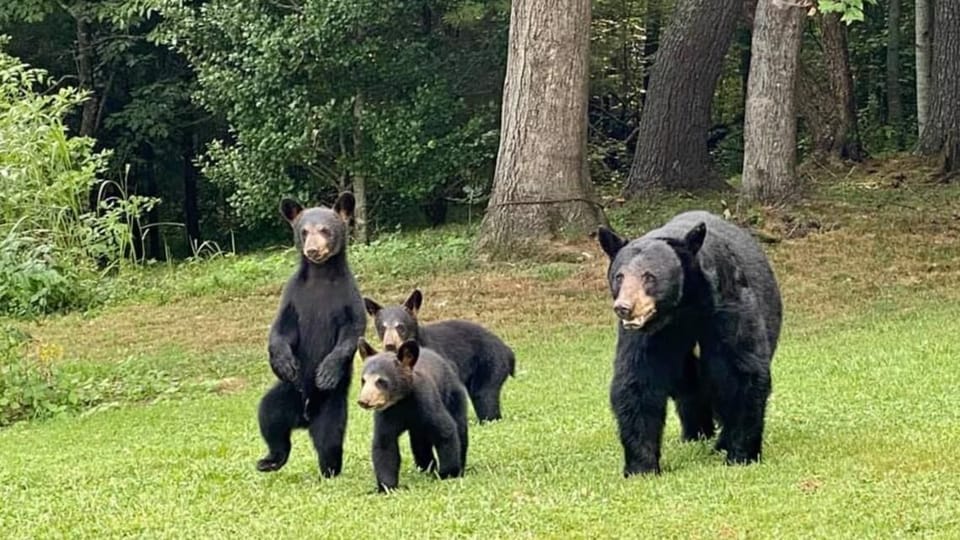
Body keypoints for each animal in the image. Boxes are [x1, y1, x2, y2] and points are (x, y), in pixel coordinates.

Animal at [255, 193, 366, 478]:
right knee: (270, 420)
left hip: (331, 407)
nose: (313, 250)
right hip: (284, 395)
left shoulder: (348, 297)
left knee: (329, 440)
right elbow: (280, 330)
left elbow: (352, 332)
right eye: (303, 231)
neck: (320, 276)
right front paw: (284, 364)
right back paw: (270, 460)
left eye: (325, 230)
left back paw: (329, 470)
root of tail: (303, 418)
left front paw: (326, 372)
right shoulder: (293, 296)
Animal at [356, 338, 469, 492]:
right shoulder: (387, 413)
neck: (402, 401)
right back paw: (427, 469)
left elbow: (445, 431)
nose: (364, 401)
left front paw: (448, 474)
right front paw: (386, 487)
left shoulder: (426, 402)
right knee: (419, 443)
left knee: (460, 427)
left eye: (381, 381)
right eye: (363, 380)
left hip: (453, 395)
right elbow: (384, 444)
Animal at [363, 289, 515, 423]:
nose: (390, 345)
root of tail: (507, 350)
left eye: (400, 326)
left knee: (484, 396)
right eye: (382, 328)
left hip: (491, 363)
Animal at [597, 210, 782, 476]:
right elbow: (638, 380)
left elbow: (740, 373)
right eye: (619, 276)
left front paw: (740, 454)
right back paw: (695, 434)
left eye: (649, 276)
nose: (624, 308)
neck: (682, 309)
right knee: (690, 391)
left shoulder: (728, 308)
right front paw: (642, 466)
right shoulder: (647, 335)